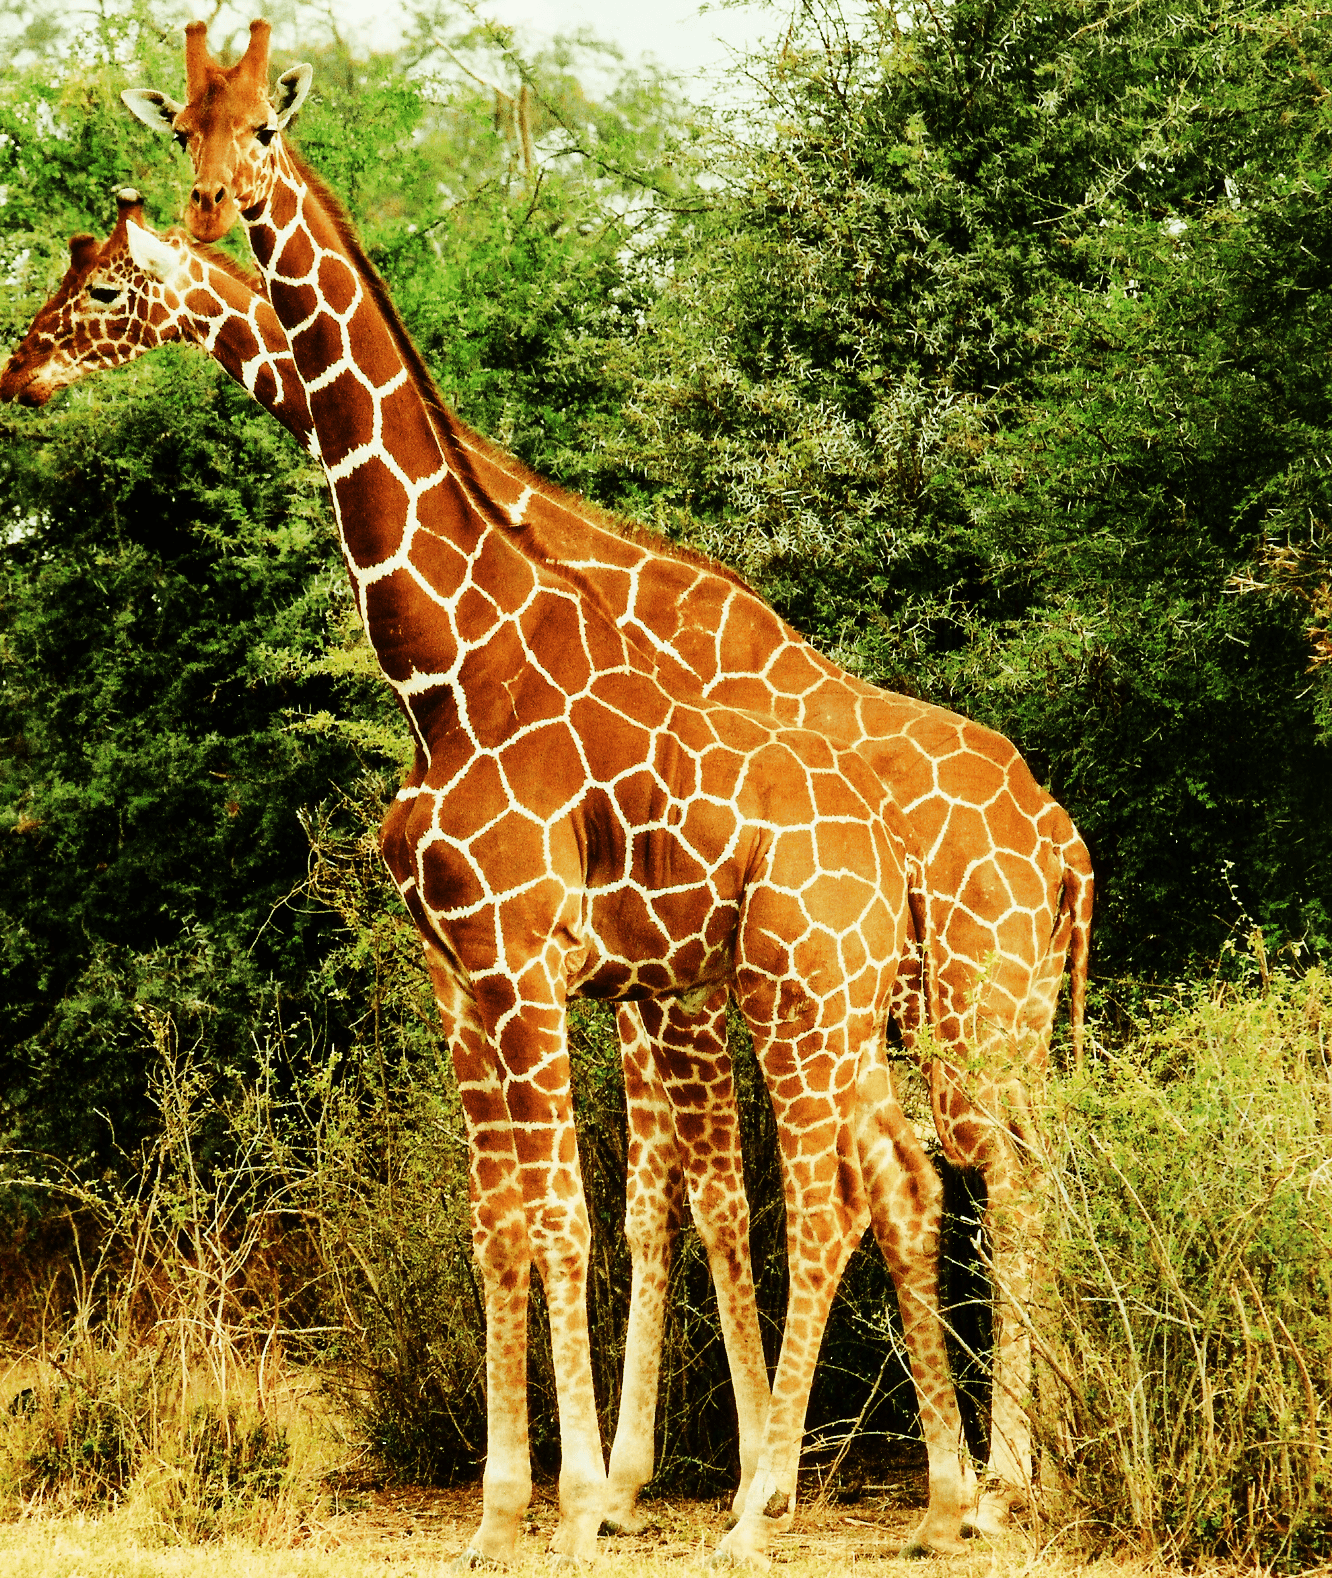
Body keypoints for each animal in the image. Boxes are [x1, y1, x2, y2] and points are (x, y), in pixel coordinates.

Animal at [5, 173, 1091, 1531]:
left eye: (99, 287)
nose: (22, 371)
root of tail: (1065, 841)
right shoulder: (629, 979)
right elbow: (649, 1200)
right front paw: (644, 1475)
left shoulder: (647, 981)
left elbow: (685, 1198)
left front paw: (659, 1477)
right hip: (947, 1012)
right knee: (980, 1176)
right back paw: (986, 1469)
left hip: (969, 1006)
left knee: (1009, 1178)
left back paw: (1006, 1474)